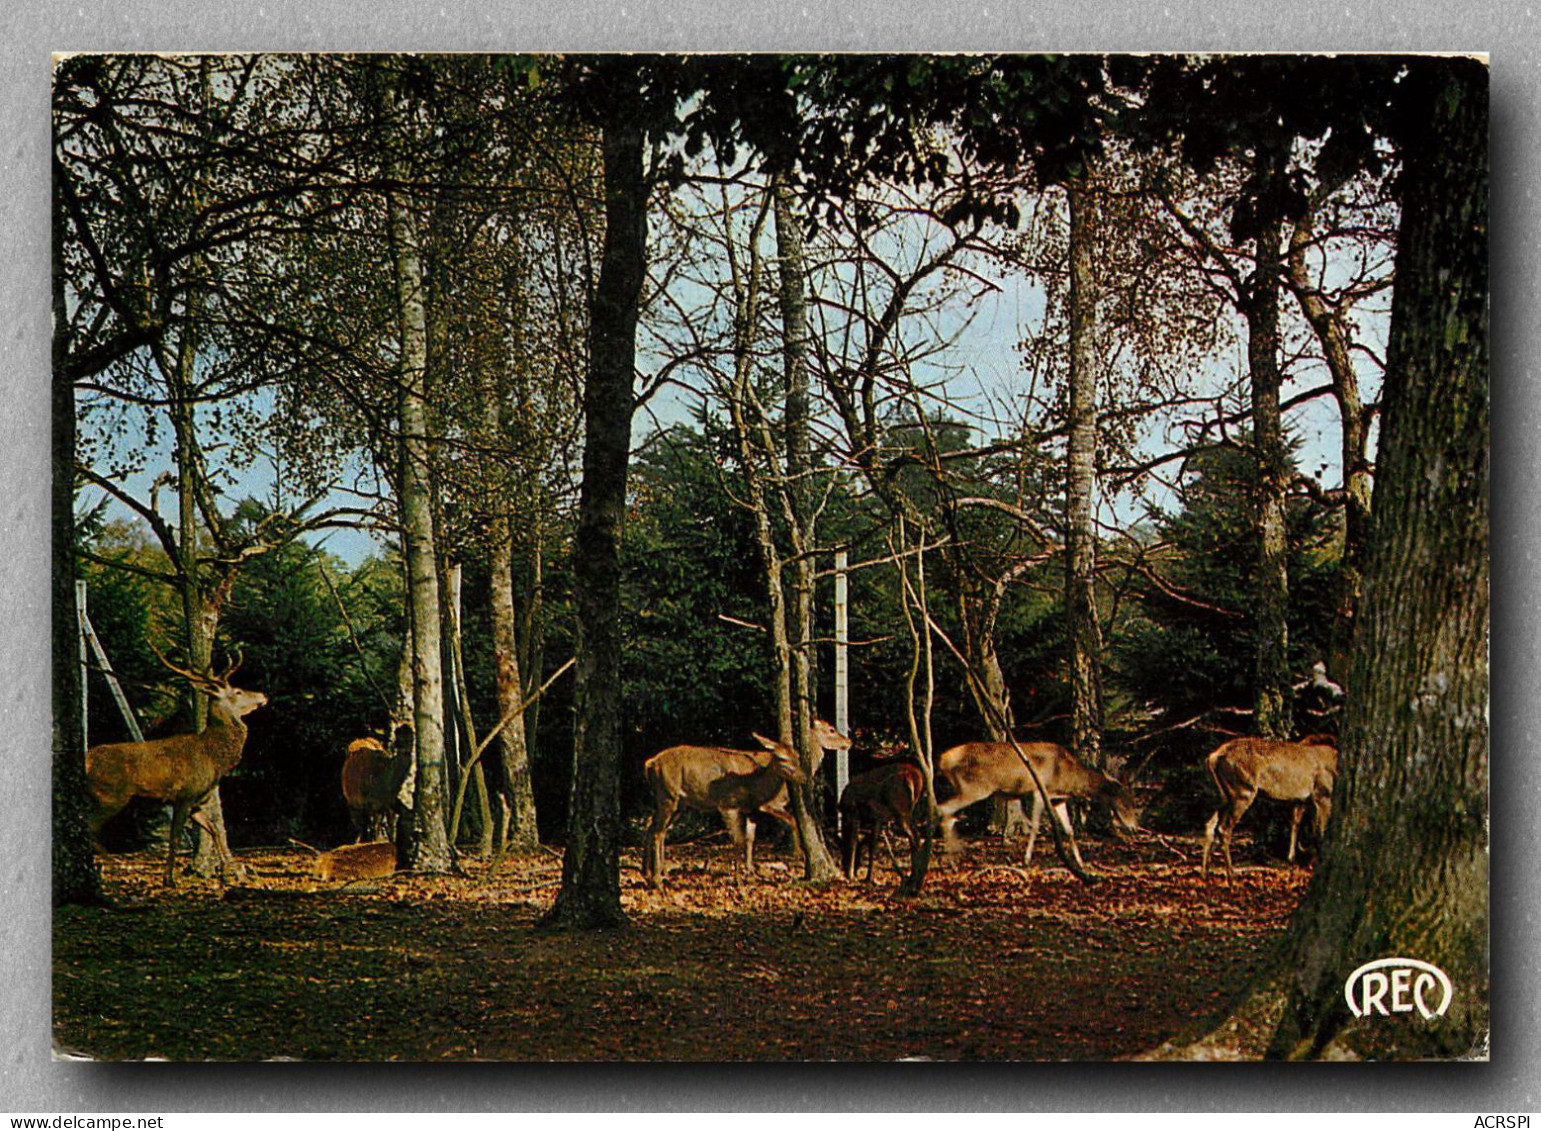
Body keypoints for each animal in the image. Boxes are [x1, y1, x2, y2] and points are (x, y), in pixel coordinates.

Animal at [85, 650, 266, 887]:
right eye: (238, 691)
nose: (263, 695)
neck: (214, 758)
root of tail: (86, 759)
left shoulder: (197, 802)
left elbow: (215, 831)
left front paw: (228, 873)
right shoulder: (184, 795)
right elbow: (176, 838)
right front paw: (168, 879)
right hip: (110, 796)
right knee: (90, 828)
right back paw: (112, 866)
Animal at [641, 721, 856, 887]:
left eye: (797, 756)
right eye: (831, 729)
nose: (849, 741)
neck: (755, 785)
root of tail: (649, 763)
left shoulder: (751, 809)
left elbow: (750, 838)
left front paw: (750, 868)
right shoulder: (739, 805)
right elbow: (747, 837)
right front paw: (796, 854)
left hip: (678, 802)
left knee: (652, 827)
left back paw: (652, 873)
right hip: (669, 796)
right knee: (658, 831)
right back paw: (657, 879)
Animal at [930, 745, 1140, 875]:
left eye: (1134, 802)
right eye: (1125, 804)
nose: (1134, 826)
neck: (1069, 778)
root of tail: (943, 760)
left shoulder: (1058, 799)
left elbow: (1069, 830)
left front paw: (1081, 863)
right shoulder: (1040, 791)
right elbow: (1035, 827)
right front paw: (1027, 859)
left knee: (948, 814)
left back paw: (952, 857)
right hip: (974, 787)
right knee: (943, 809)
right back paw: (950, 858)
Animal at [1201, 736, 1337, 887]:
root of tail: (1213, 758)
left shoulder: (1302, 800)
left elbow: (1298, 825)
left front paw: (1292, 858)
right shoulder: (1323, 794)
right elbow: (1320, 832)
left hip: (1223, 795)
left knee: (1210, 825)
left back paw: (1205, 875)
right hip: (1243, 790)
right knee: (1223, 828)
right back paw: (1231, 878)